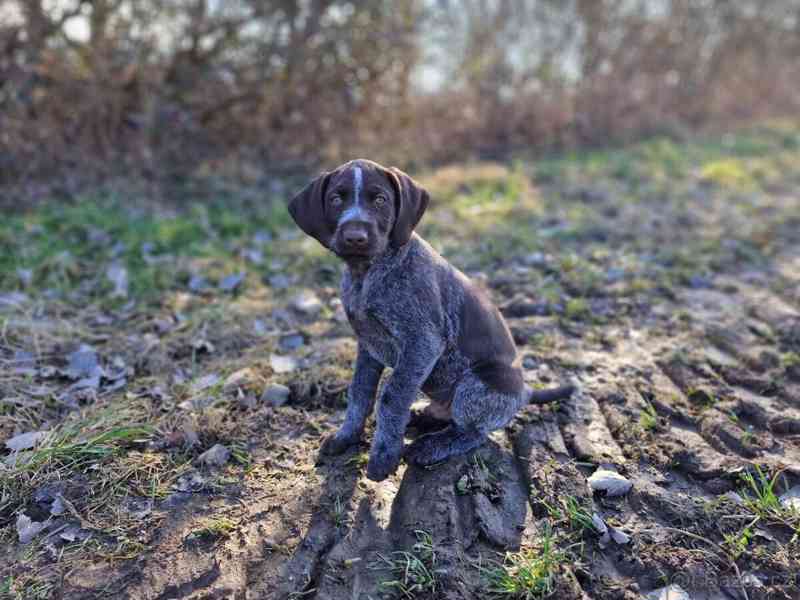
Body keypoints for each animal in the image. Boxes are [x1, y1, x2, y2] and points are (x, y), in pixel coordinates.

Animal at [290, 159, 572, 482]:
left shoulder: (421, 343)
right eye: (336, 199)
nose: (355, 237)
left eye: (380, 199)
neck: (368, 274)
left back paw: (433, 445)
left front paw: (383, 456)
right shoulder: (368, 345)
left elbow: (391, 396)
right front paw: (347, 436)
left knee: (474, 431)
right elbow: (359, 392)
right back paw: (422, 418)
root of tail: (524, 393)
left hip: (476, 386)